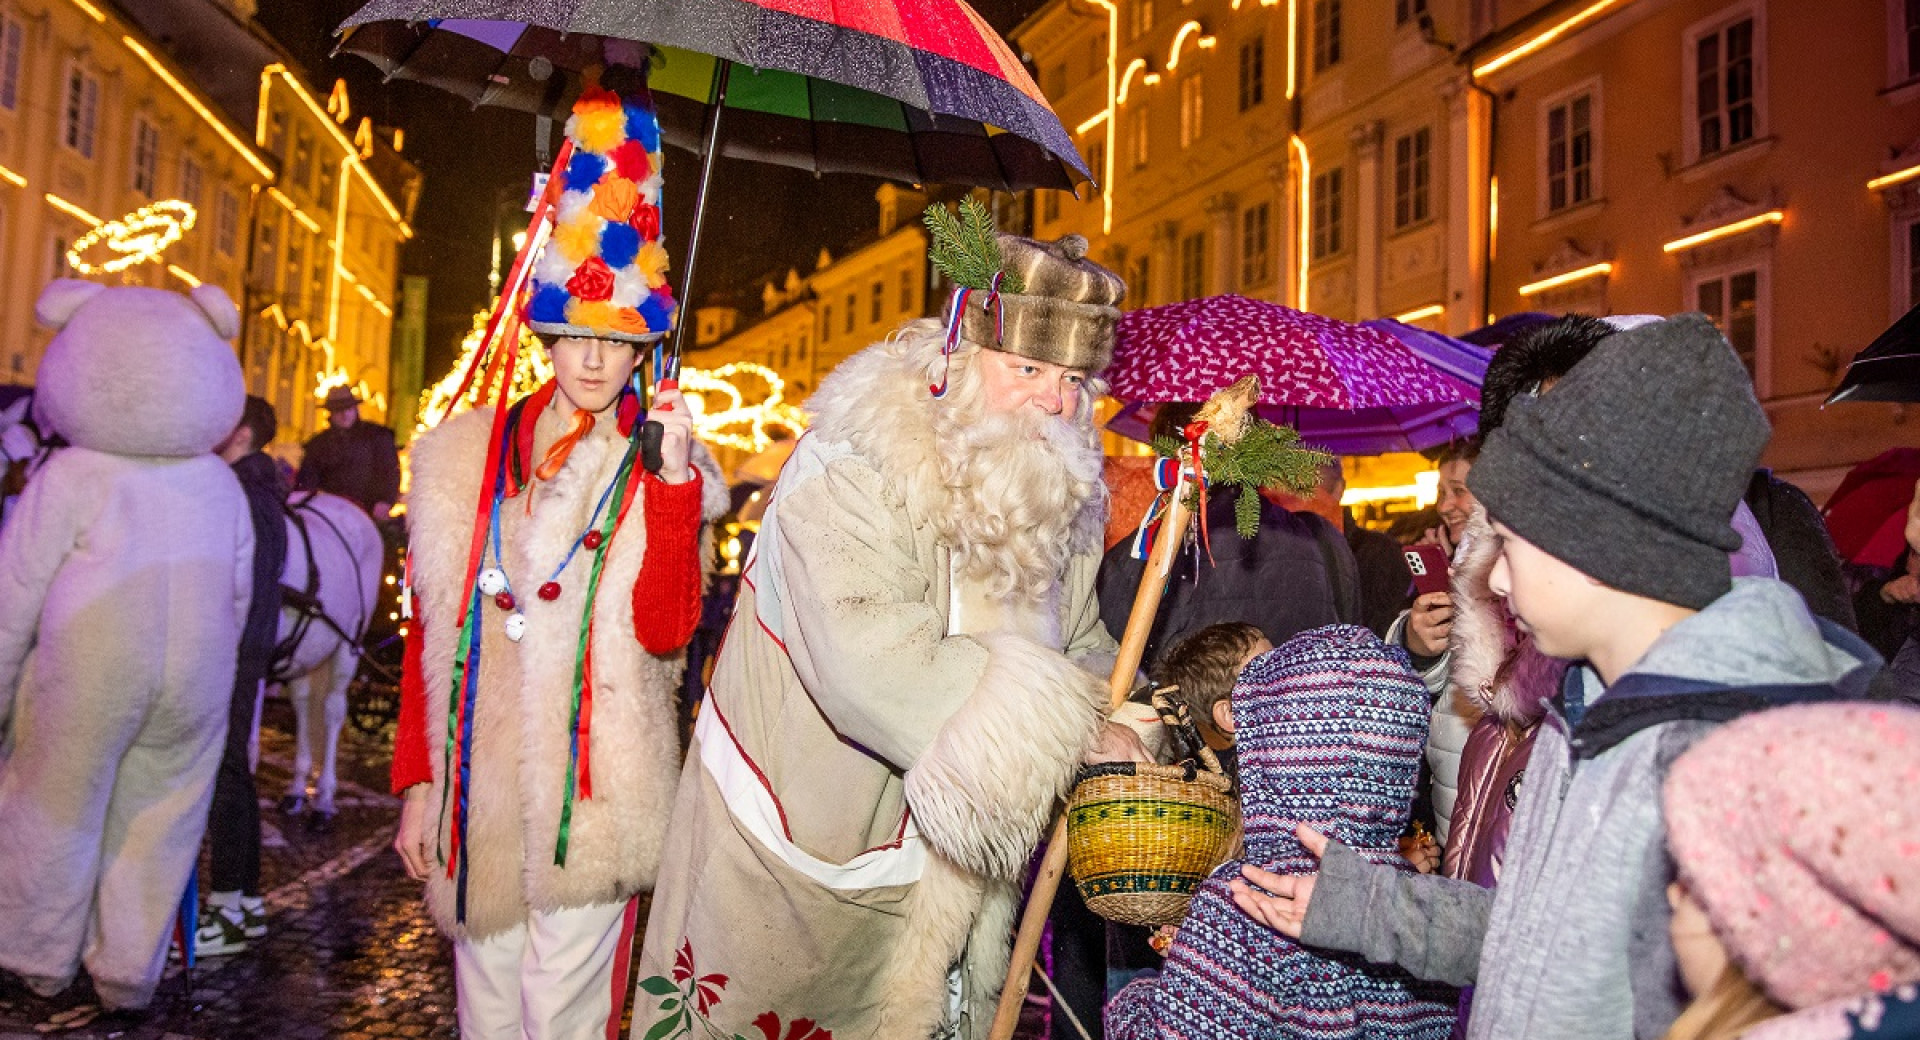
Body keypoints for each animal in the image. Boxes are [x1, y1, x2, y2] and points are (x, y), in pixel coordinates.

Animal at [272, 495, 384, 828]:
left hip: (348, 644)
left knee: (333, 710)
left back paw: (323, 800)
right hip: (302, 653)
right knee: (303, 705)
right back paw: (297, 789)